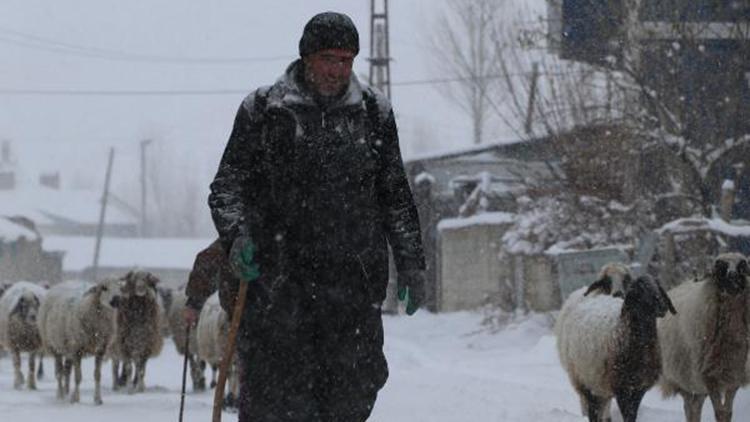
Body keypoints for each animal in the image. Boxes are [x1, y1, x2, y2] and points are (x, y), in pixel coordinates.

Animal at [656, 252, 750, 420]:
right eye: (721, 269)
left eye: (741, 268)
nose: (733, 279)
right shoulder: (709, 377)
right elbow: (719, 412)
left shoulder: (735, 376)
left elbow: (727, 413)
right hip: (684, 379)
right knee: (689, 407)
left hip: (697, 386)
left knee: (696, 406)